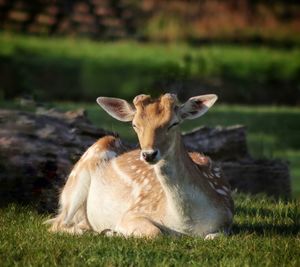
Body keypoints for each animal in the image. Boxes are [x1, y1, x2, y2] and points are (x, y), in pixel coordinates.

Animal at [47, 94, 234, 241]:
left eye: (174, 123)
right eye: (135, 124)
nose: (149, 154)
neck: (185, 223)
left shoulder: (227, 218)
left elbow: (215, 236)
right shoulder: (133, 212)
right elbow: (155, 233)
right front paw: (113, 232)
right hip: (75, 182)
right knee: (57, 225)